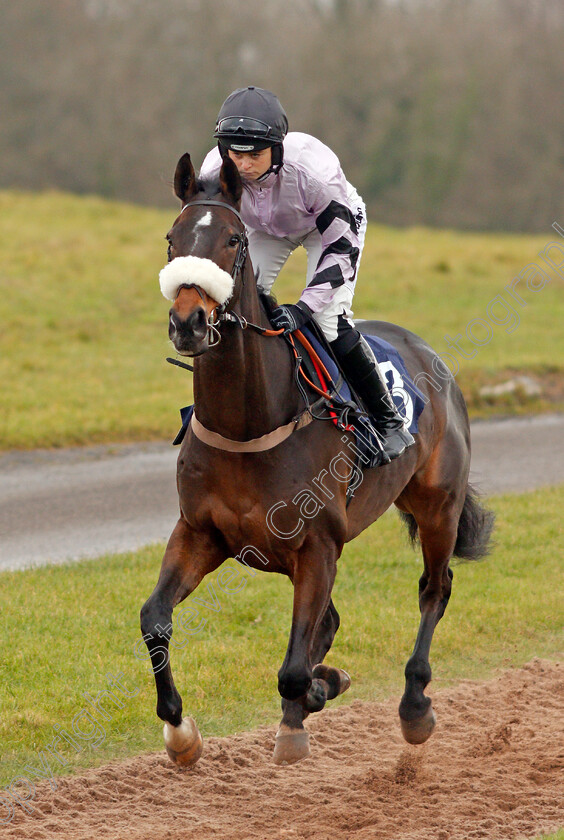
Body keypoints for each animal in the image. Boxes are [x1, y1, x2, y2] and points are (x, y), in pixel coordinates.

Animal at [141, 151, 494, 768]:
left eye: (234, 240)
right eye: (172, 238)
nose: (188, 322)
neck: (250, 423)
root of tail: (429, 354)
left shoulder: (318, 547)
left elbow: (291, 668)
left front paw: (298, 715)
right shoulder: (200, 533)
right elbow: (156, 620)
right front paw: (180, 733)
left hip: (438, 506)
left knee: (434, 589)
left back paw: (414, 706)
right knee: (331, 621)